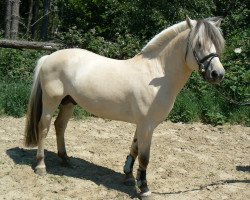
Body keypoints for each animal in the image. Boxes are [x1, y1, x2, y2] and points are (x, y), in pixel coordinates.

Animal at [24, 17, 225, 197]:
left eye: (217, 44)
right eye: (198, 44)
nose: (218, 74)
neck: (157, 75)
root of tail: (48, 57)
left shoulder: (142, 124)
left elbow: (134, 148)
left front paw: (128, 176)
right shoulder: (147, 126)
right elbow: (144, 156)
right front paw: (144, 188)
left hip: (68, 102)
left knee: (60, 126)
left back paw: (65, 159)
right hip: (51, 101)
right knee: (44, 128)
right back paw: (41, 166)